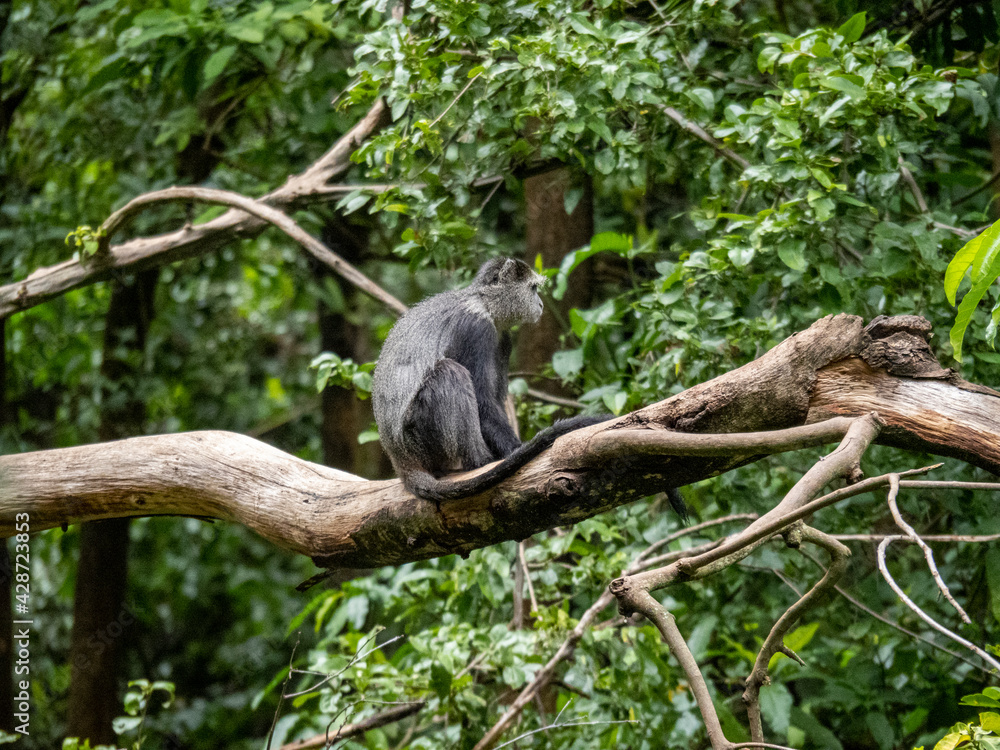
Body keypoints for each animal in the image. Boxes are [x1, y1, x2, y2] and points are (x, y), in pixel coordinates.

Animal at [371, 257, 607, 502]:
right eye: (533, 288)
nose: (541, 305)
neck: (483, 304)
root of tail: (401, 460)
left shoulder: (503, 340)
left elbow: (494, 400)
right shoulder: (475, 328)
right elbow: (484, 402)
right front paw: (515, 450)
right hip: (419, 439)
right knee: (450, 372)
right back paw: (481, 461)